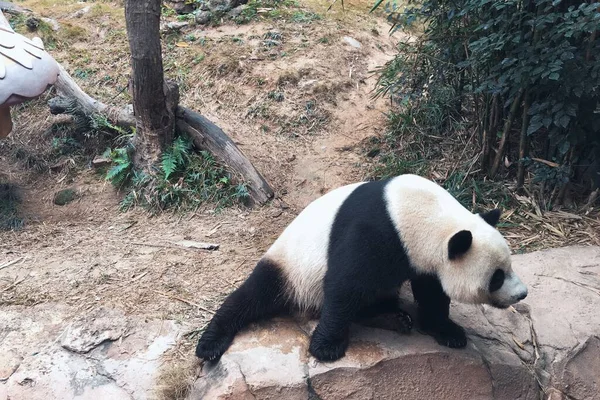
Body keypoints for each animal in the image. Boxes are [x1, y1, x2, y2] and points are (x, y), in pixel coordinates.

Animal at [195, 174, 528, 362]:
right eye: (497, 277)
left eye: (510, 265)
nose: (522, 294)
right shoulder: (375, 231)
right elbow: (345, 284)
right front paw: (326, 348)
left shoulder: (423, 259)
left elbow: (432, 293)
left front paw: (449, 332)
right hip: (290, 265)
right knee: (255, 293)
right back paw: (210, 344)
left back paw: (394, 317)